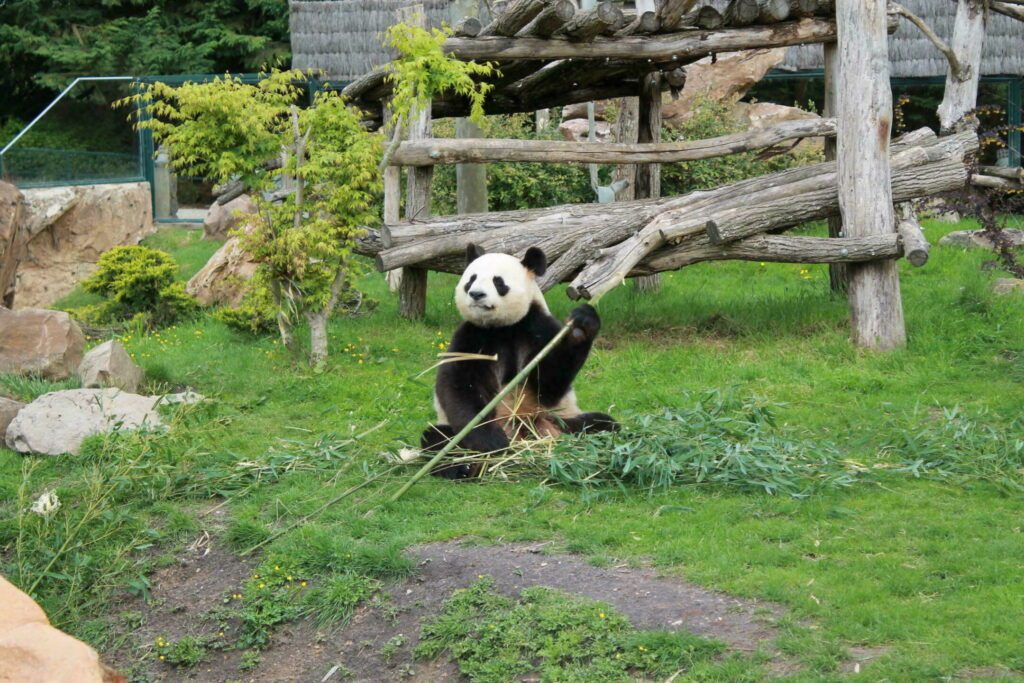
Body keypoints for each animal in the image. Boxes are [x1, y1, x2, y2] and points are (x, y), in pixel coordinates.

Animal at [421, 242, 618, 479]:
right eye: (471, 279)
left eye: (498, 282)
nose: (476, 294)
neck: (503, 327)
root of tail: (521, 435)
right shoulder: (472, 336)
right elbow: (460, 385)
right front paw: (490, 441)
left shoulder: (537, 327)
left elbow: (549, 384)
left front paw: (581, 326)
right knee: (435, 438)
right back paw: (464, 465)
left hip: (560, 419)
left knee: (602, 425)